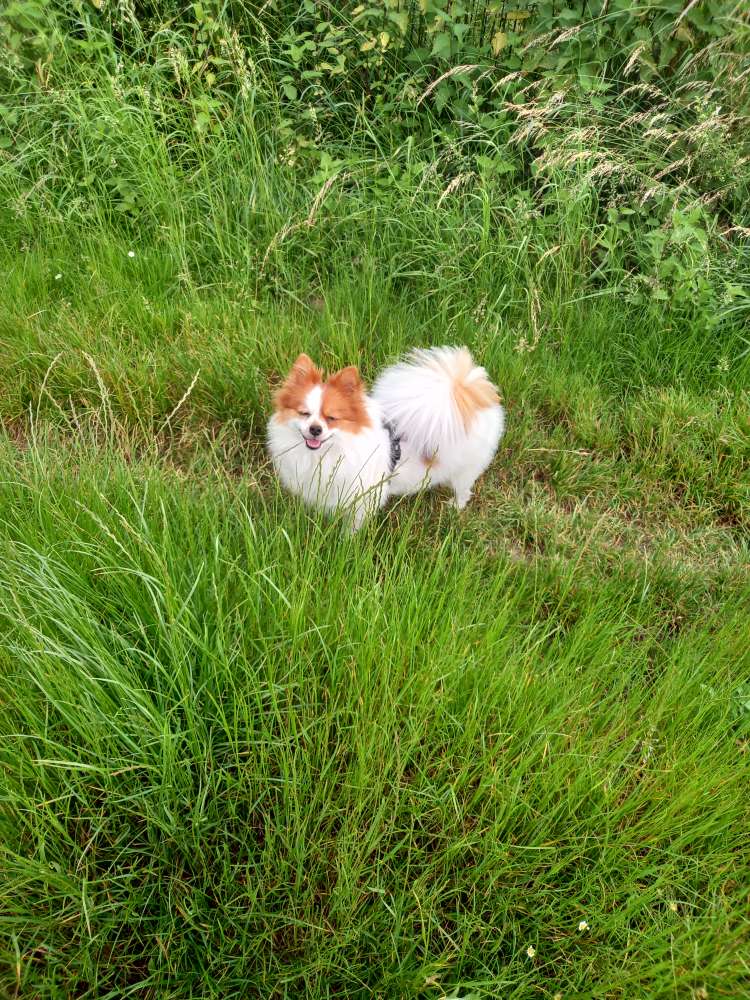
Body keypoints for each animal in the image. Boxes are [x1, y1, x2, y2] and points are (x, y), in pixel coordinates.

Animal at [268, 346, 508, 532]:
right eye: (304, 413)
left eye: (331, 418)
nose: (315, 429)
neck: (331, 451)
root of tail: (465, 390)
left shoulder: (362, 498)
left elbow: (352, 527)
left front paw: (346, 542)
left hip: (465, 470)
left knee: (464, 490)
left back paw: (454, 507)